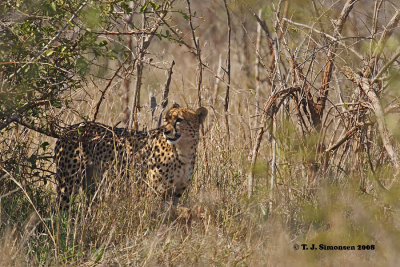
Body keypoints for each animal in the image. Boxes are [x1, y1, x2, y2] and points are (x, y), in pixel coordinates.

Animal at [54, 103, 208, 210]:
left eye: (179, 120)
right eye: (166, 119)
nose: (166, 131)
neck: (183, 151)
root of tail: (67, 129)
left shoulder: (175, 192)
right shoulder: (152, 190)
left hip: (91, 184)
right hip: (68, 184)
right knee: (60, 210)